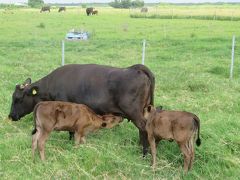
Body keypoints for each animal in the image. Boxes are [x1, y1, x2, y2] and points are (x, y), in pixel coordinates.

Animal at [8, 63, 155, 156]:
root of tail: (134, 69)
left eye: (17, 99)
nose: (11, 116)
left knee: (144, 128)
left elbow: (71, 131)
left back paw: (145, 153)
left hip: (135, 113)